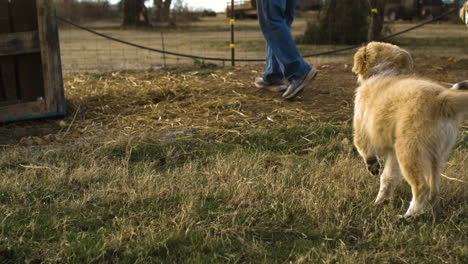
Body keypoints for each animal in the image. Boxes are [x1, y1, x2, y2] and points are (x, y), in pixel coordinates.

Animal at [352, 42, 466, 218]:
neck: (383, 71)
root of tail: (440, 99)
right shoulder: (393, 152)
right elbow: (388, 177)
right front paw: (382, 201)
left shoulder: (362, 128)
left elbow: (365, 150)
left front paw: (373, 167)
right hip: (437, 155)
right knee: (433, 189)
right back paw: (430, 211)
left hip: (409, 151)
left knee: (421, 186)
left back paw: (409, 216)